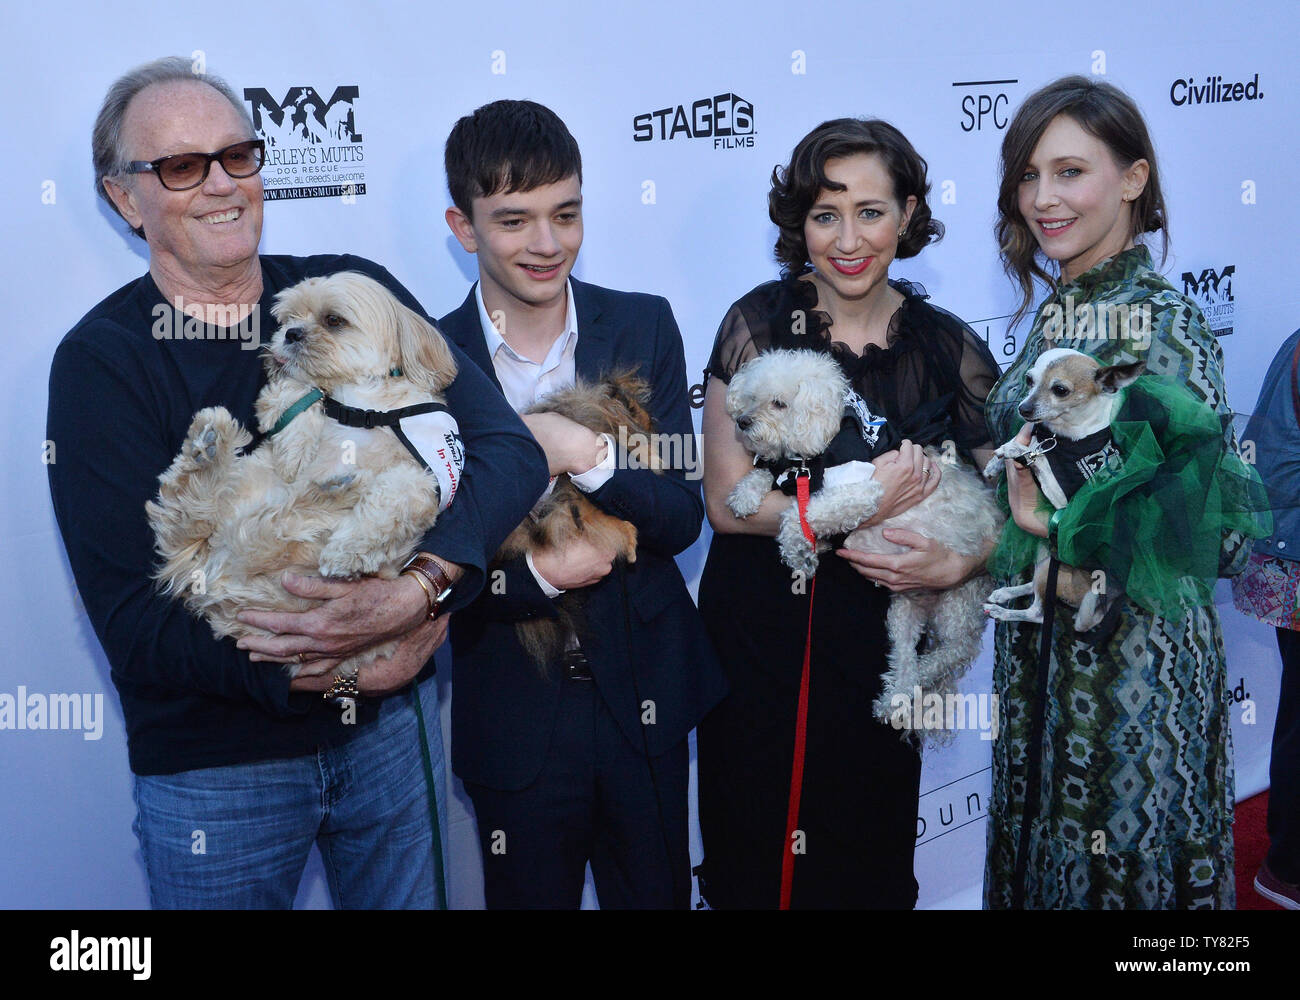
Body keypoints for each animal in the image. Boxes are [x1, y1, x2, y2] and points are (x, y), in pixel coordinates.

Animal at [146, 270, 460, 676]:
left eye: (334, 320)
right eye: (286, 319)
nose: (291, 334)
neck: (362, 407)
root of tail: (212, 572)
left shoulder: (429, 475)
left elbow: (397, 497)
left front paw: (348, 550)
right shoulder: (293, 397)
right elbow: (293, 391)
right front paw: (296, 446)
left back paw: (331, 490)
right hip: (250, 486)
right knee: (192, 509)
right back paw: (214, 449)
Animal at [977, 348, 1144, 629]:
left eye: (1060, 390)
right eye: (1029, 380)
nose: (1023, 408)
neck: (1062, 436)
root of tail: (1105, 598)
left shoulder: (1064, 500)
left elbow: (1036, 455)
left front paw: (1015, 450)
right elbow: (1031, 442)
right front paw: (995, 463)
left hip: (1053, 570)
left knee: (1039, 613)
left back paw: (1005, 611)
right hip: (1045, 557)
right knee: (1036, 587)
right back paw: (1006, 593)